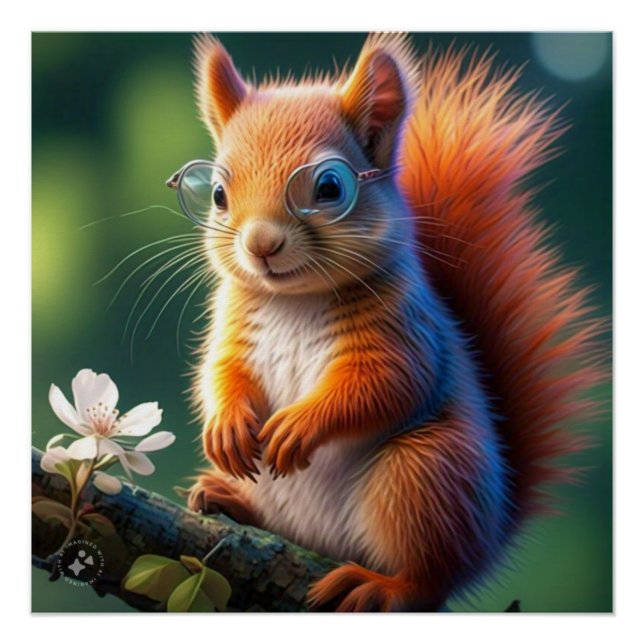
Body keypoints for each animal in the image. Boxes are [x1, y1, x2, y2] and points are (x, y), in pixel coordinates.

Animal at [184, 32, 604, 611]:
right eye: (218, 194)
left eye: (330, 188)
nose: (260, 245)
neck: (294, 299)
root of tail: (488, 543)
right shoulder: (232, 329)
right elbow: (220, 375)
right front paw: (225, 424)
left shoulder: (405, 331)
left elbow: (383, 385)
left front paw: (300, 425)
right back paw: (225, 496)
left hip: (424, 474)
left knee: (428, 577)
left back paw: (380, 584)